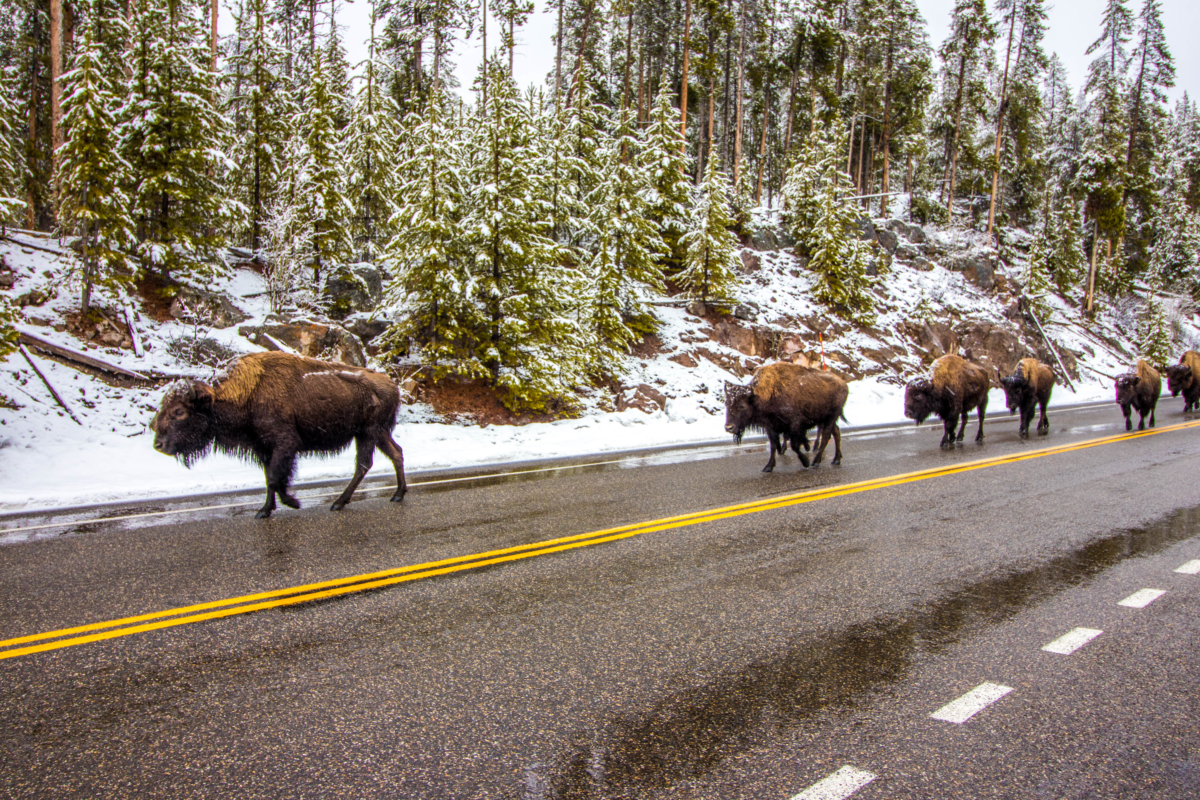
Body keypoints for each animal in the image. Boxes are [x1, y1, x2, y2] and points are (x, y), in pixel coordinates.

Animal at [148, 352, 403, 520]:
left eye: (179, 411)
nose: (158, 444)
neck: (248, 395)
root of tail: (392, 384)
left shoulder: (284, 444)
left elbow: (274, 478)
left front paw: (293, 502)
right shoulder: (264, 448)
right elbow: (269, 478)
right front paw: (263, 511)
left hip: (367, 432)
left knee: (363, 464)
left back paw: (338, 503)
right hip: (377, 433)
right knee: (395, 453)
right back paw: (398, 495)